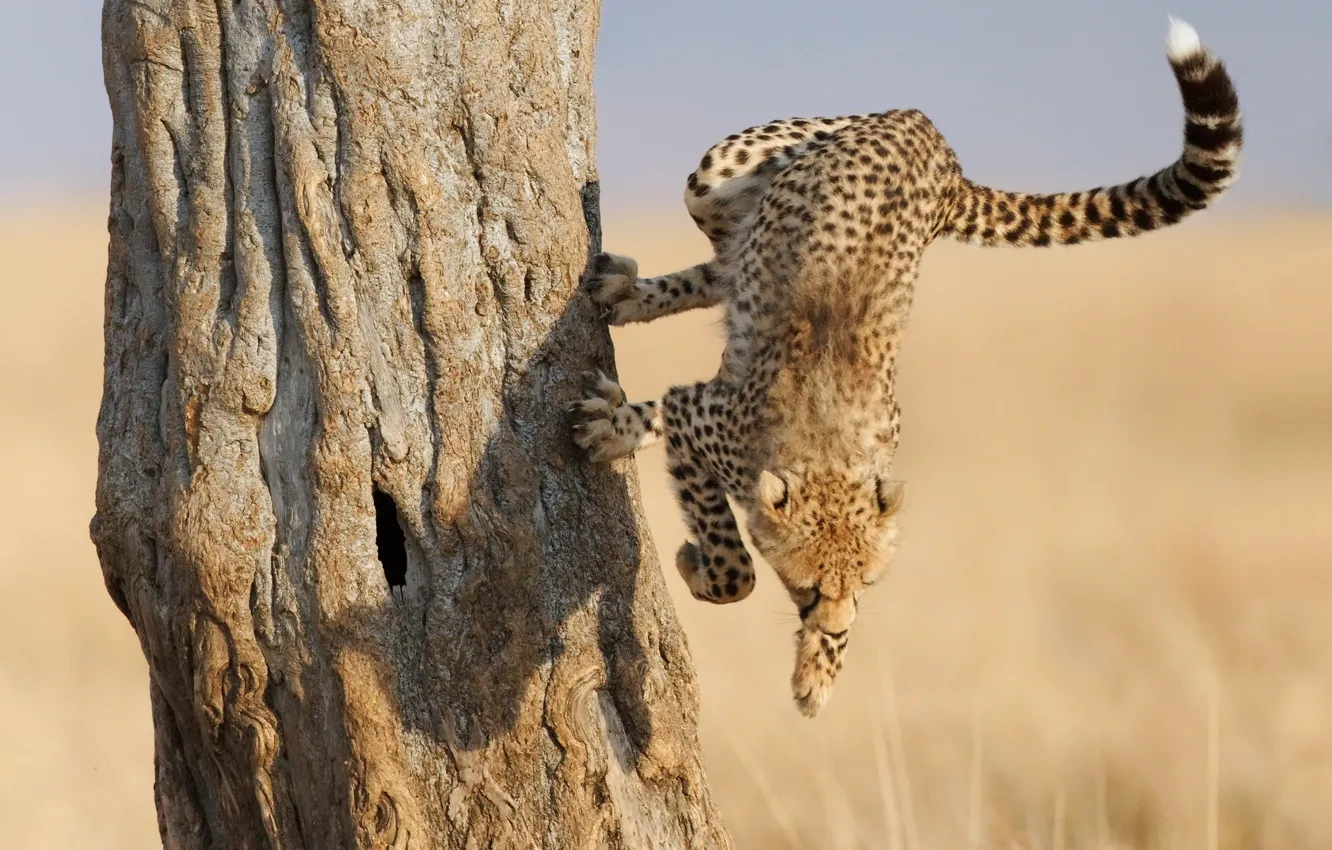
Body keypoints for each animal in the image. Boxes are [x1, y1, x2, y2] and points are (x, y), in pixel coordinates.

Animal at [569, 18, 1242, 717]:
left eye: (863, 583)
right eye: (808, 587)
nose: (835, 624)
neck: (827, 452)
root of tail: (936, 143)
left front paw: (818, 673)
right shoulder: (702, 417)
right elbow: (734, 564)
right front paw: (696, 557)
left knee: (727, 265)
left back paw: (626, 308)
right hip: (720, 167)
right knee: (724, 255)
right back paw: (627, 306)